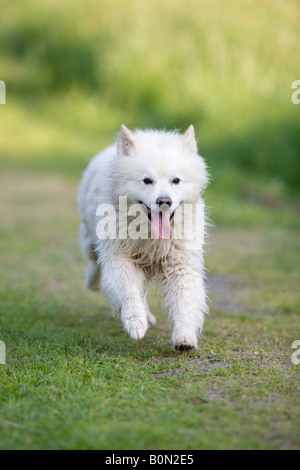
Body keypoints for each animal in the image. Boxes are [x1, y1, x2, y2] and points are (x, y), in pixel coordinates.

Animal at [77, 125, 209, 348]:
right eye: (147, 181)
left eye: (176, 180)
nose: (164, 201)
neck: (151, 235)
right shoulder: (120, 259)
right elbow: (129, 293)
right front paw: (135, 323)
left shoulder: (180, 263)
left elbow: (184, 300)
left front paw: (184, 337)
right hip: (91, 241)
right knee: (95, 262)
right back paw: (93, 282)